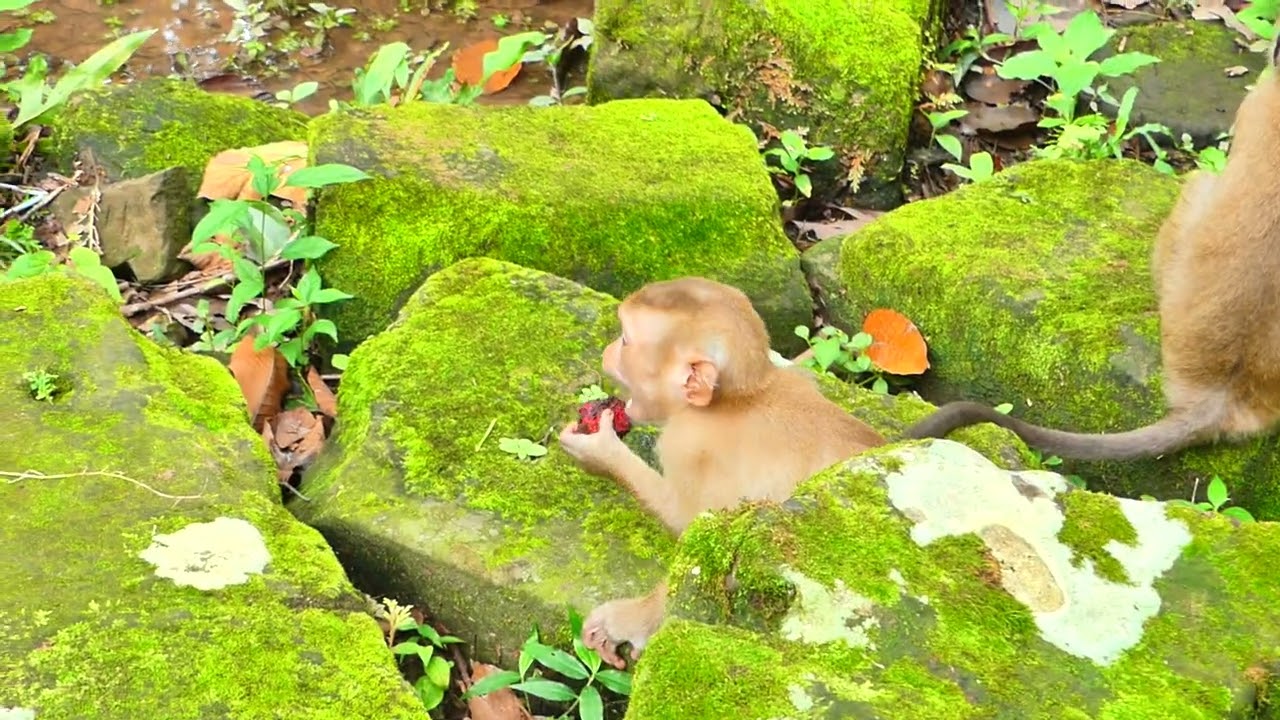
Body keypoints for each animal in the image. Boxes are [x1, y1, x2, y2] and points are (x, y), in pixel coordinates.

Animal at [558, 277, 885, 668]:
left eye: (624, 340)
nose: (607, 351)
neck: (739, 398)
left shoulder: (684, 443)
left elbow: (695, 525)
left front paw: (600, 454)